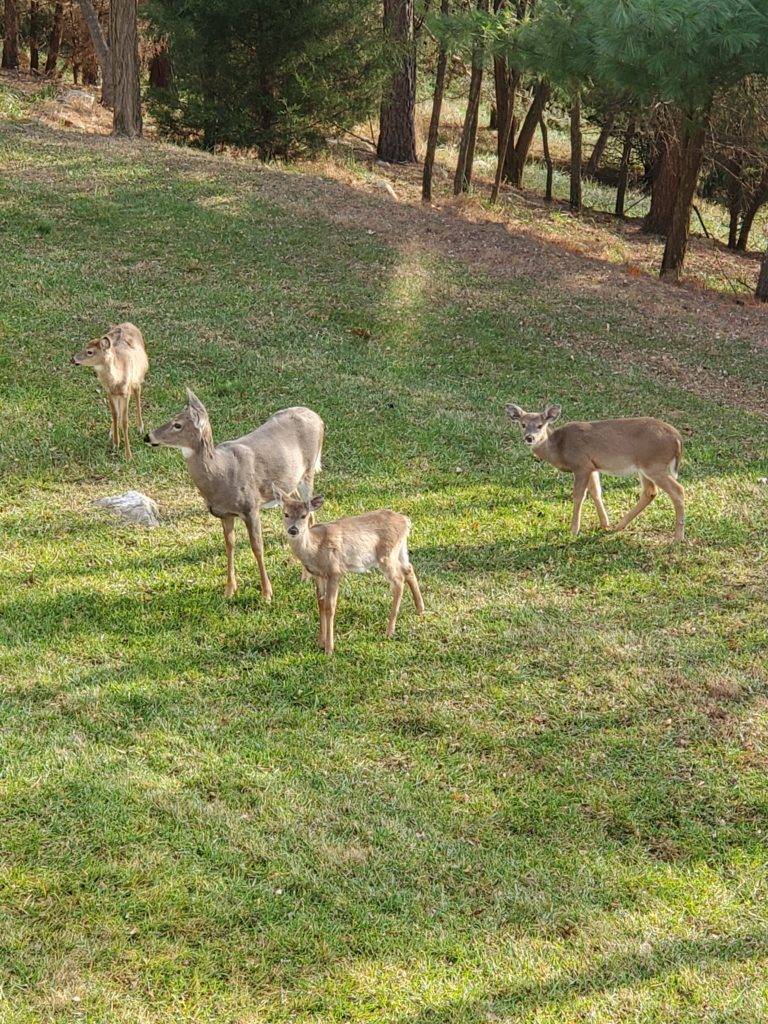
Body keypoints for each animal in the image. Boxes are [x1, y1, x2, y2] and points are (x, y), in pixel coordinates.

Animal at [72, 321, 150, 462]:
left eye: (90, 352)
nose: (73, 359)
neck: (117, 379)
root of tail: (129, 323)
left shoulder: (125, 393)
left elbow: (125, 421)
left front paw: (128, 456)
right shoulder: (109, 392)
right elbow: (114, 414)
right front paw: (115, 443)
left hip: (138, 377)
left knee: (137, 392)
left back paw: (140, 427)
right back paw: (111, 432)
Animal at [145, 389, 323, 598]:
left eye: (177, 424)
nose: (148, 436)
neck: (221, 473)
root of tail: (319, 418)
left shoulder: (251, 508)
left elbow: (257, 547)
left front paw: (267, 593)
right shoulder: (225, 514)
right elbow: (229, 545)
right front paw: (229, 589)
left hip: (308, 472)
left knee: (310, 514)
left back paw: (305, 576)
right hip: (290, 482)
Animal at [274, 489, 423, 655]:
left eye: (304, 515)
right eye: (285, 514)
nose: (293, 530)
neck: (314, 549)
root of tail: (406, 521)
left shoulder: (334, 571)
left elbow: (330, 606)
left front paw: (329, 649)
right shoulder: (318, 575)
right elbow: (320, 603)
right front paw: (320, 642)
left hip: (386, 554)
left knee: (398, 580)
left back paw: (389, 631)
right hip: (400, 549)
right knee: (408, 568)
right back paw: (420, 609)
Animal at [505, 401, 684, 544]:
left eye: (540, 425)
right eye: (522, 424)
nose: (529, 438)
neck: (559, 449)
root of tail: (677, 439)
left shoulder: (581, 464)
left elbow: (578, 496)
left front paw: (573, 530)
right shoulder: (592, 466)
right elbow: (596, 492)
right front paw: (605, 524)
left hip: (654, 464)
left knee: (678, 490)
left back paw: (677, 538)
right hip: (645, 467)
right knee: (650, 492)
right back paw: (619, 526)